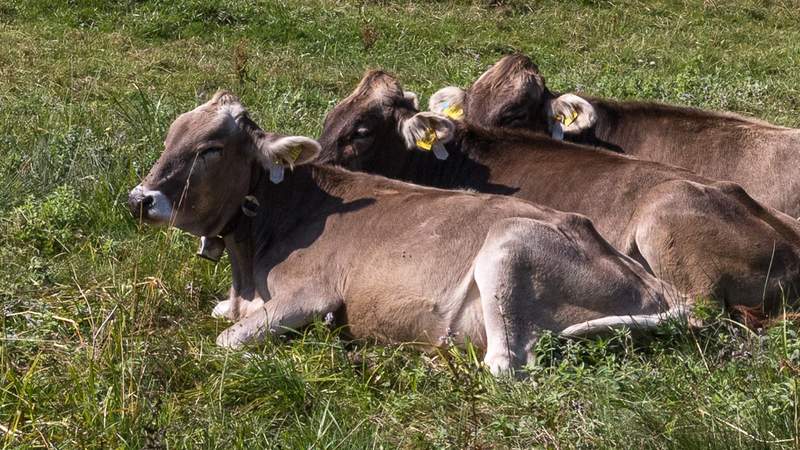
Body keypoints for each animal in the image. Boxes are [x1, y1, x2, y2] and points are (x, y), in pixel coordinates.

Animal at [128, 90, 692, 372]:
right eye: (170, 134)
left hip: (507, 248)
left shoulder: (309, 294)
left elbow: (225, 340)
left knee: (505, 365)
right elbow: (219, 315)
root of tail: (656, 285)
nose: (139, 199)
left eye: (210, 149)